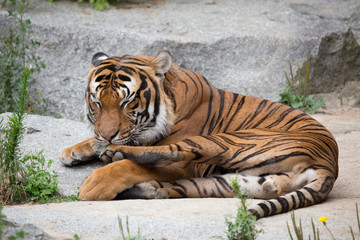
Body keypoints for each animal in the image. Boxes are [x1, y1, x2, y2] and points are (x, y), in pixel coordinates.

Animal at [59, 51, 338, 219]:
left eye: (126, 102)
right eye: (96, 102)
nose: (107, 137)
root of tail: (329, 165)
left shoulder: (187, 163)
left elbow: (130, 163)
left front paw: (96, 183)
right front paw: (73, 152)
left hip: (225, 143)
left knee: (163, 155)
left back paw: (116, 158)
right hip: (228, 183)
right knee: (175, 189)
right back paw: (140, 188)